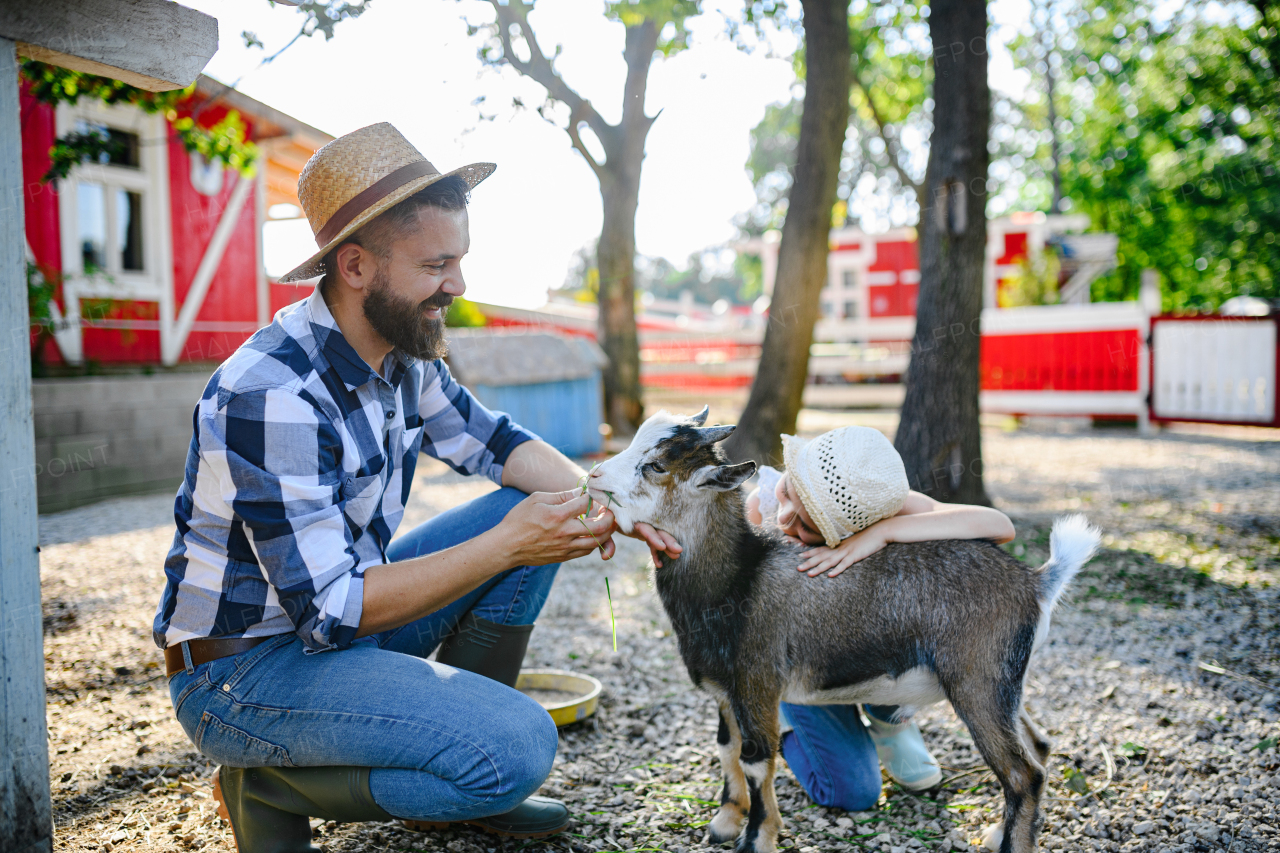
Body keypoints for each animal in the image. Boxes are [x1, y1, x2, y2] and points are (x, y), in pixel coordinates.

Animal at [588, 404, 1100, 850]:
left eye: (655, 465)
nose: (592, 477)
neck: (736, 578)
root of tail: (1036, 581)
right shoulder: (724, 690)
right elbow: (727, 749)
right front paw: (725, 822)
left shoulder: (757, 682)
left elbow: (756, 760)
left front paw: (757, 839)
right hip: (1005, 684)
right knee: (1039, 745)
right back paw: (997, 832)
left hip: (978, 682)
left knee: (1022, 772)